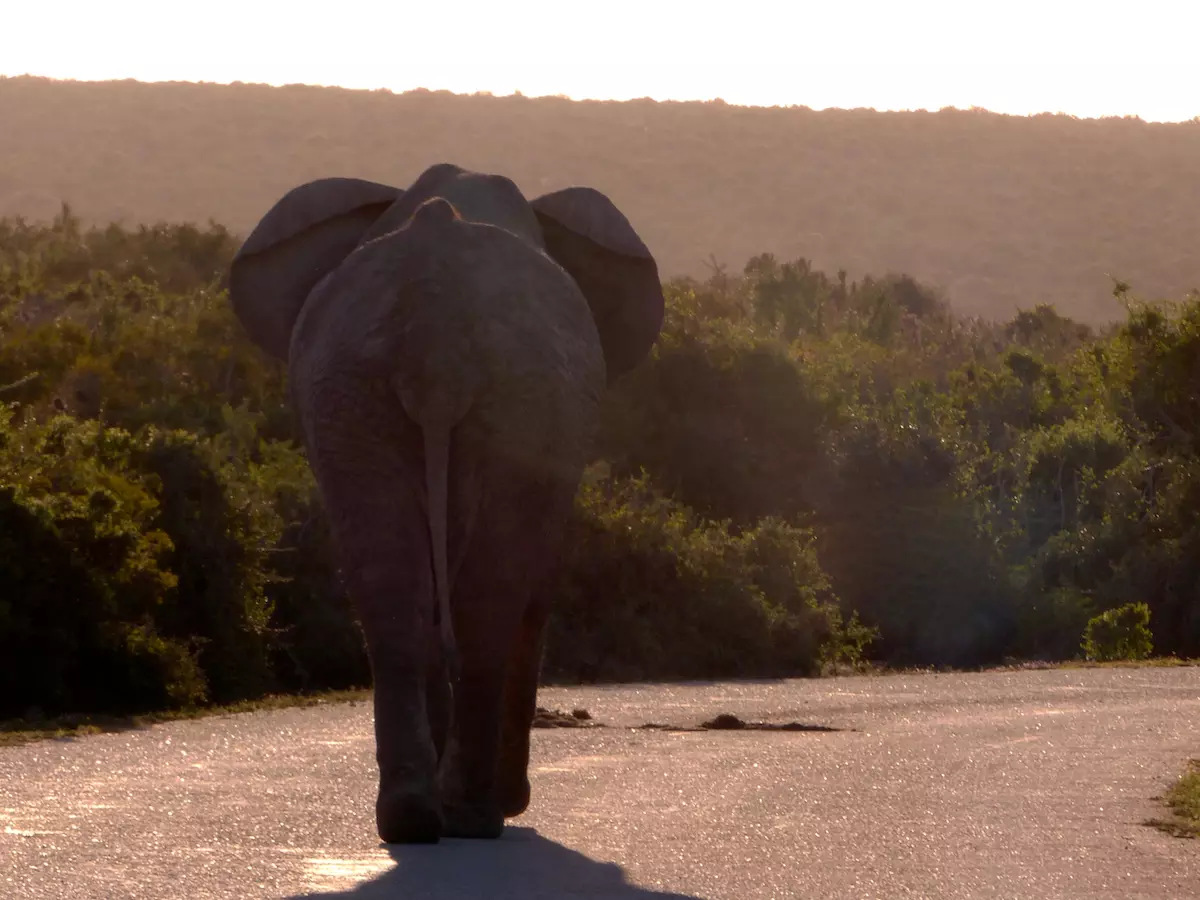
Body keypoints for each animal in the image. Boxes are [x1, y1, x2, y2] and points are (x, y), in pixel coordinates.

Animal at [228, 163, 664, 844]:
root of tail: (436, 325)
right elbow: (535, 587)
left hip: (356, 388)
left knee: (395, 583)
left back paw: (415, 818)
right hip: (509, 392)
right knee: (489, 594)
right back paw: (475, 816)